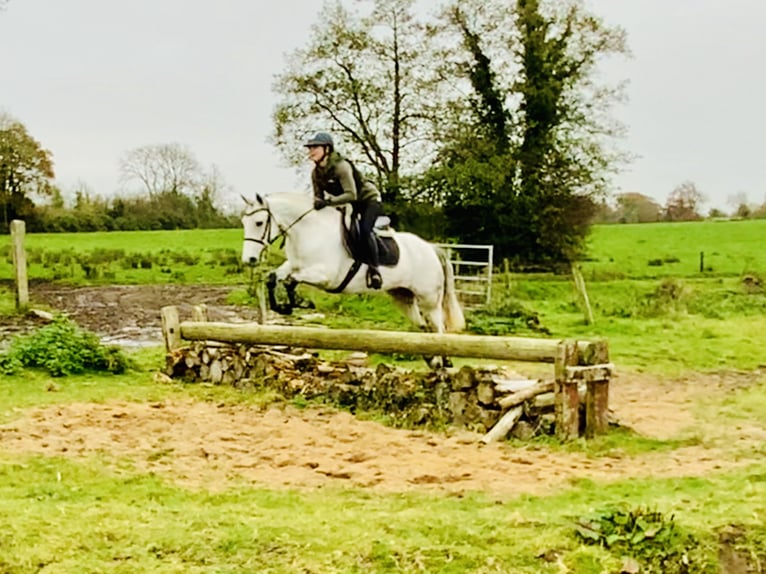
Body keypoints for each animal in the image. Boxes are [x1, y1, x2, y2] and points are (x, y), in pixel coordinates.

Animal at [240, 192, 468, 364]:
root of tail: (431, 248)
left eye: (259, 223)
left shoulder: (325, 276)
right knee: (422, 327)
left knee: (437, 327)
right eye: (244, 223)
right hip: (403, 297)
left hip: (428, 298)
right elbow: (273, 278)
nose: (249, 259)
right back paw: (430, 358)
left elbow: (290, 281)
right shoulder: (294, 266)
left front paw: (299, 303)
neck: (309, 231)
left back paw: (443, 359)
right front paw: (285, 306)